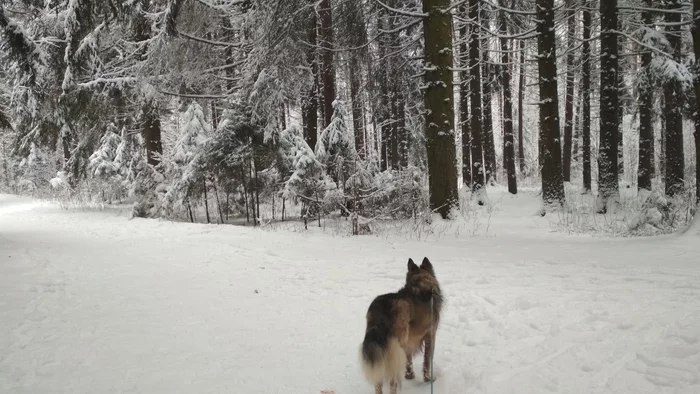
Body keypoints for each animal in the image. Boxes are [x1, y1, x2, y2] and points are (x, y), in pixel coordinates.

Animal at [360, 258, 442, 394]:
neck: (420, 283)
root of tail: (383, 310)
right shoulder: (431, 335)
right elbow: (427, 361)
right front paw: (428, 379)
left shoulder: (408, 343)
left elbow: (409, 360)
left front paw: (410, 375)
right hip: (395, 349)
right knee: (392, 382)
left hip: (381, 351)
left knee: (378, 381)